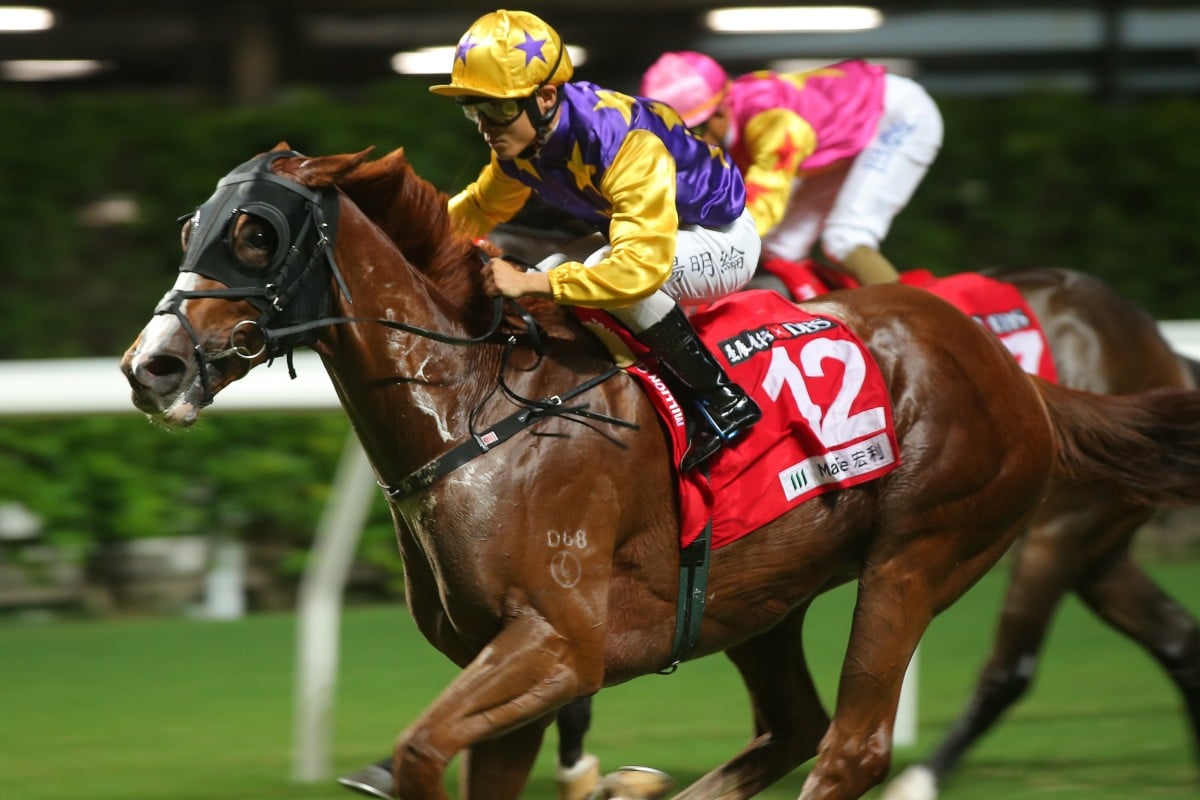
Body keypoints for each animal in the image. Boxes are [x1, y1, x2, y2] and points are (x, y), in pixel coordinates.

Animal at [121, 145, 1200, 800]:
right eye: (188, 229)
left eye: (255, 233)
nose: (152, 366)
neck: (477, 411)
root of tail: (1013, 372)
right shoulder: (509, 662)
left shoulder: (560, 641)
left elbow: (427, 747)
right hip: (760, 592)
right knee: (796, 725)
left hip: (932, 546)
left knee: (855, 741)